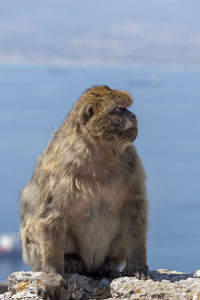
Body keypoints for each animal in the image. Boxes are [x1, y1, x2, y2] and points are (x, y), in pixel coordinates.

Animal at [20, 85, 151, 298]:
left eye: (127, 108)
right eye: (120, 109)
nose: (134, 115)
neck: (98, 151)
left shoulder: (131, 160)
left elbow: (134, 209)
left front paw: (137, 266)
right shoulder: (60, 169)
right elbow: (52, 216)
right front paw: (52, 277)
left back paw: (108, 264)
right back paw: (71, 260)